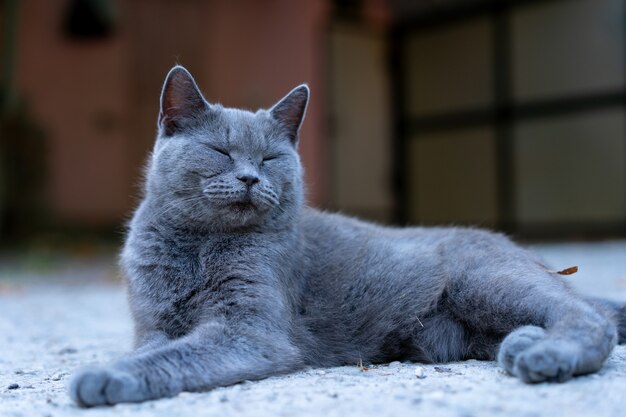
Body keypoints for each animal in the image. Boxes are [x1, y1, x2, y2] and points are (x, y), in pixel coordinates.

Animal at [68, 66, 624, 406]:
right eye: (221, 152)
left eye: (270, 157)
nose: (250, 177)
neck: (198, 247)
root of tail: (519, 250)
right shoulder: (153, 322)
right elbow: (152, 348)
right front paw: (117, 366)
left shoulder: (250, 329)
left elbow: (176, 355)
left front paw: (104, 377)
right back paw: (522, 344)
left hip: (487, 281)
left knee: (591, 317)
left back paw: (546, 356)